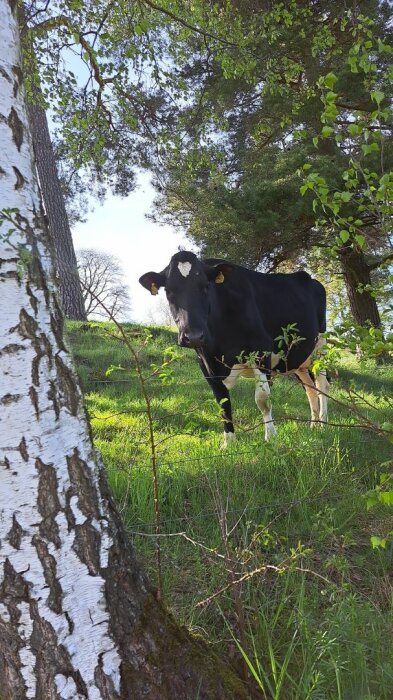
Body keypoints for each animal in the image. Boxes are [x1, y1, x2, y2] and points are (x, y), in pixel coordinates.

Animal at [139, 252, 326, 446]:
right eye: (169, 291)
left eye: (205, 287)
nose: (194, 336)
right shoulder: (205, 363)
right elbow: (222, 402)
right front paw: (228, 442)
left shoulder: (262, 350)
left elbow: (263, 399)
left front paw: (271, 437)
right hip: (298, 361)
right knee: (310, 388)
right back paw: (313, 425)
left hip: (320, 348)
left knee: (322, 385)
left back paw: (323, 424)